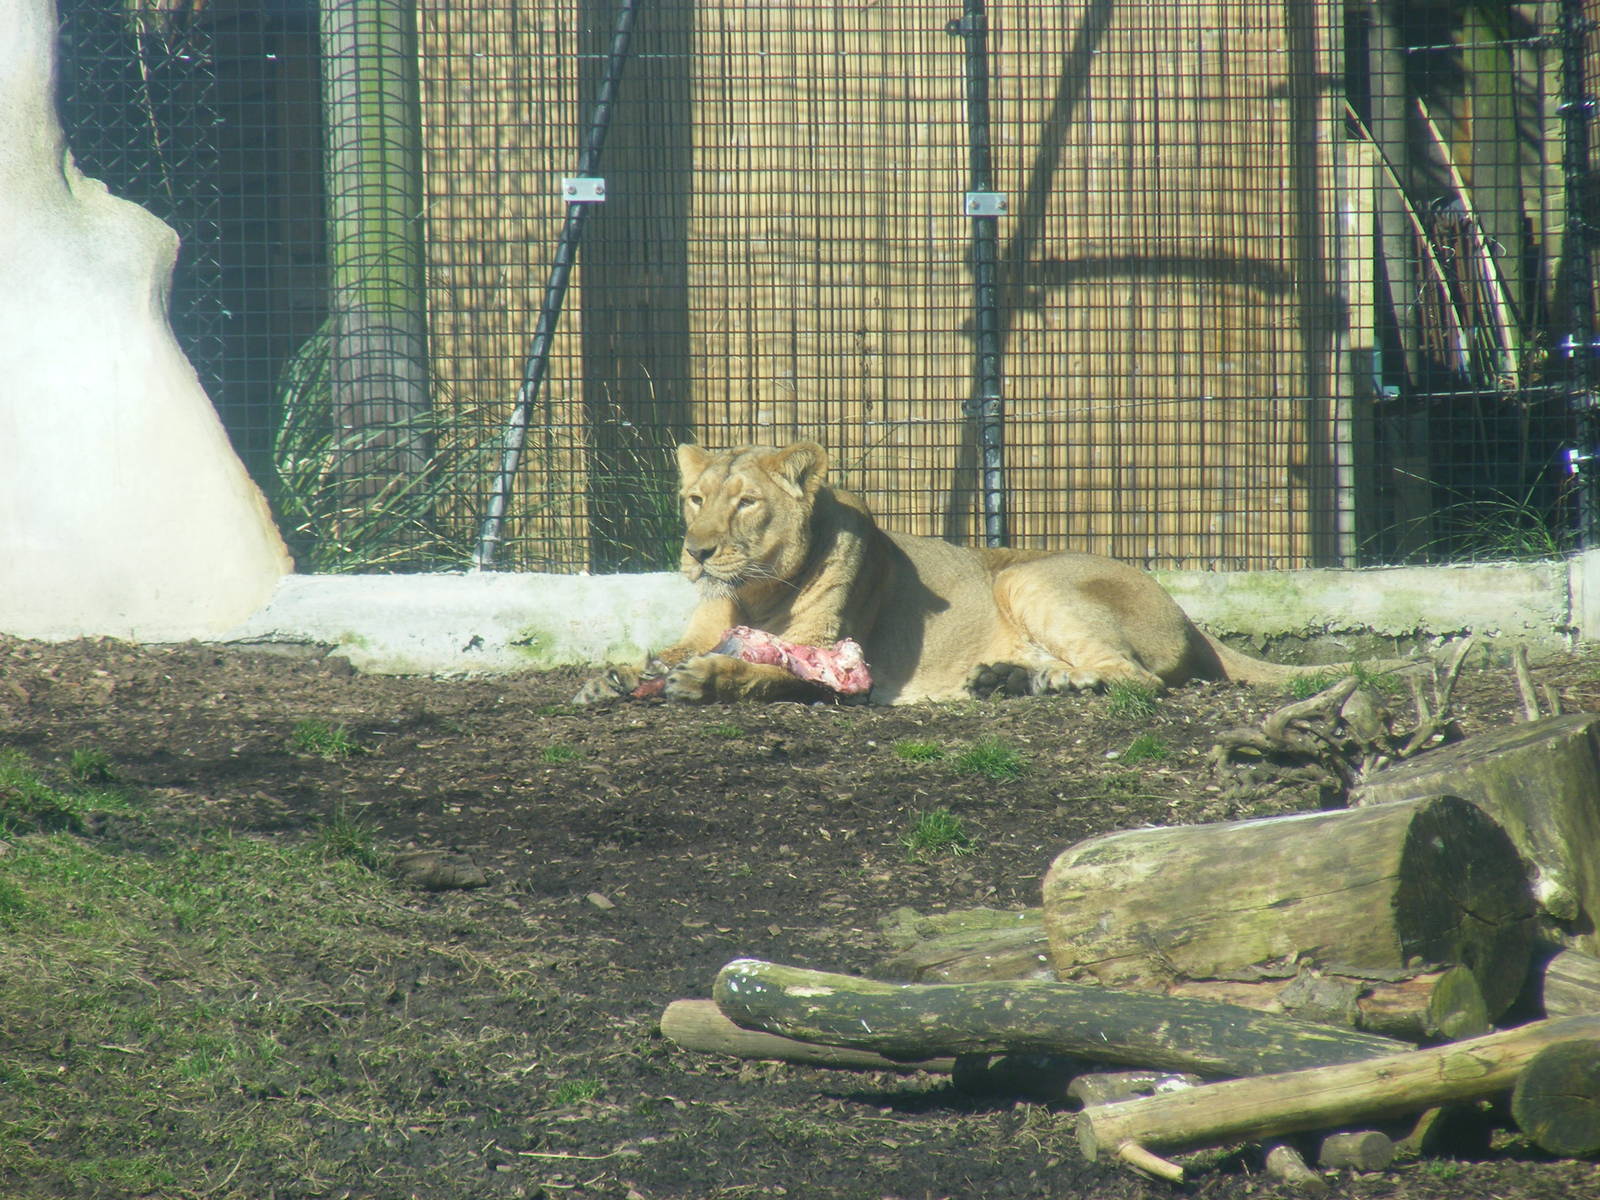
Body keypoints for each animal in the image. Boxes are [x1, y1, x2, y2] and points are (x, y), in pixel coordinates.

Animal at [575, 440, 1355, 706]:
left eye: (745, 504)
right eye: (695, 499)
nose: (697, 552)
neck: (753, 598)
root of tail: (1185, 609)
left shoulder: (843, 670)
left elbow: (769, 673)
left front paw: (704, 678)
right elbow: (655, 652)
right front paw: (612, 676)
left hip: (1027, 576)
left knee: (1135, 679)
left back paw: (1055, 682)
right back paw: (1010, 679)